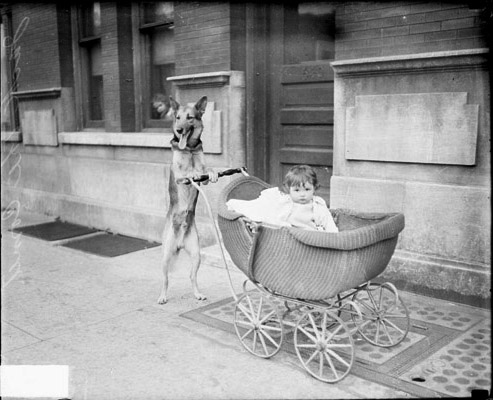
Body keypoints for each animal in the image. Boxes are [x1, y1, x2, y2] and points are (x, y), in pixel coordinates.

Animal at [157, 95, 217, 304]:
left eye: (190, 118)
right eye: (177, 117)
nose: (179, 130)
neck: (190, 150)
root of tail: (180, 242)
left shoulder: (203, 175)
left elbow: (207, 171)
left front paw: (213, 173)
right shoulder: (178, 176)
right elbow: (185, 173)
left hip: (196, 254)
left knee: (192, 276)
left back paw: (198, 293)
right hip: (166, 256)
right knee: (165, 279)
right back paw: (162, 296)